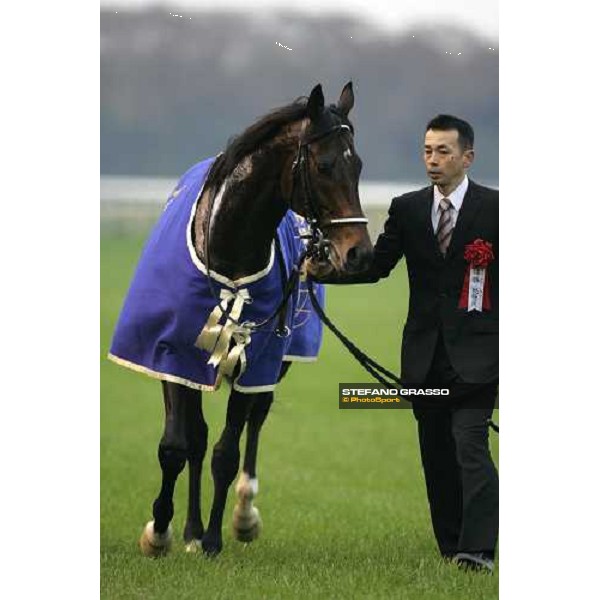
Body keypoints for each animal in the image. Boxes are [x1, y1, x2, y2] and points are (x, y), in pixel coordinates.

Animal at [106, 81, 370, 556]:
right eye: (324, 165)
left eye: (357, 164)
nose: (358, 252)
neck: (224, 247)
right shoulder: (170, 354)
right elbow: (177, 445)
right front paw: (161, 531)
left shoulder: (257, 358)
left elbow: (227, 451)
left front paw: (212, 537)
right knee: (196, 437)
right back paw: (189, 528)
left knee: (256, 419)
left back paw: (243, 514)